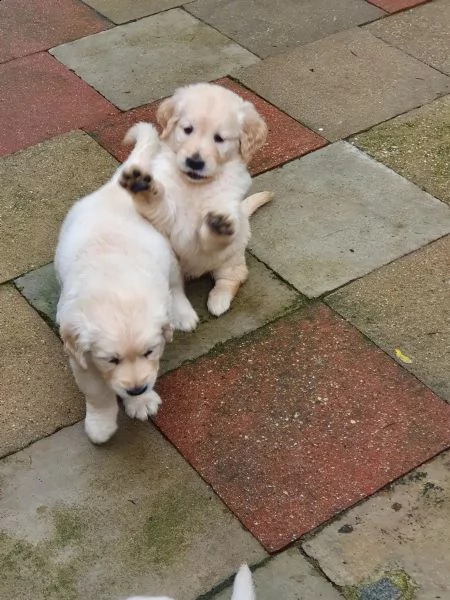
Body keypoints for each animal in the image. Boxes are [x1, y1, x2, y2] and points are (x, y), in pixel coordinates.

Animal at [119, 85, 272, 318]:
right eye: (187, 129)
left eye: (219, 138)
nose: (195, 162)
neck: (195, 186)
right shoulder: (169, 215)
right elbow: (159, 205)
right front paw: (142, 187)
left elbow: (209, 236)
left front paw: (218, 226)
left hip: (231, 257)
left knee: (233, 277)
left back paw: (219, 300)